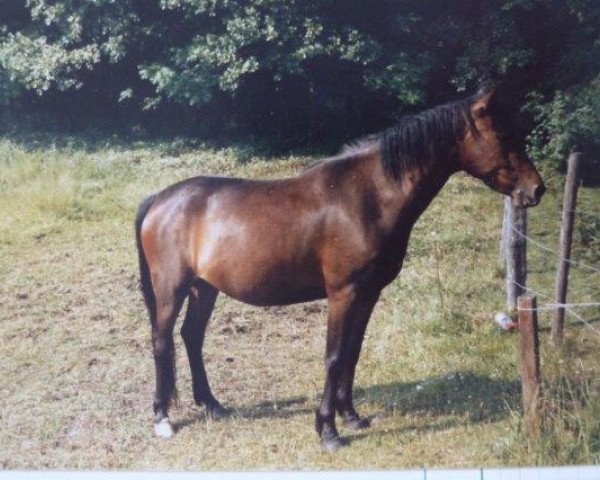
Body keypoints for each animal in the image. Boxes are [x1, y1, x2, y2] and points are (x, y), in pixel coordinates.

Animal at [135, 89, 544, 450]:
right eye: (503, 135)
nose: (536, 190)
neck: (366, 197)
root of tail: (159, 199)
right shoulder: (342, 293)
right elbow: (333, 356)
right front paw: (328, 430)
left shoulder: (368, 293)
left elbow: (352, 351)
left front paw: (351, 416)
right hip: (171, 289)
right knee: (162, 340)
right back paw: (162, 418)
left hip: (204, 288)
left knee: (191, 337)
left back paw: (212, 404)